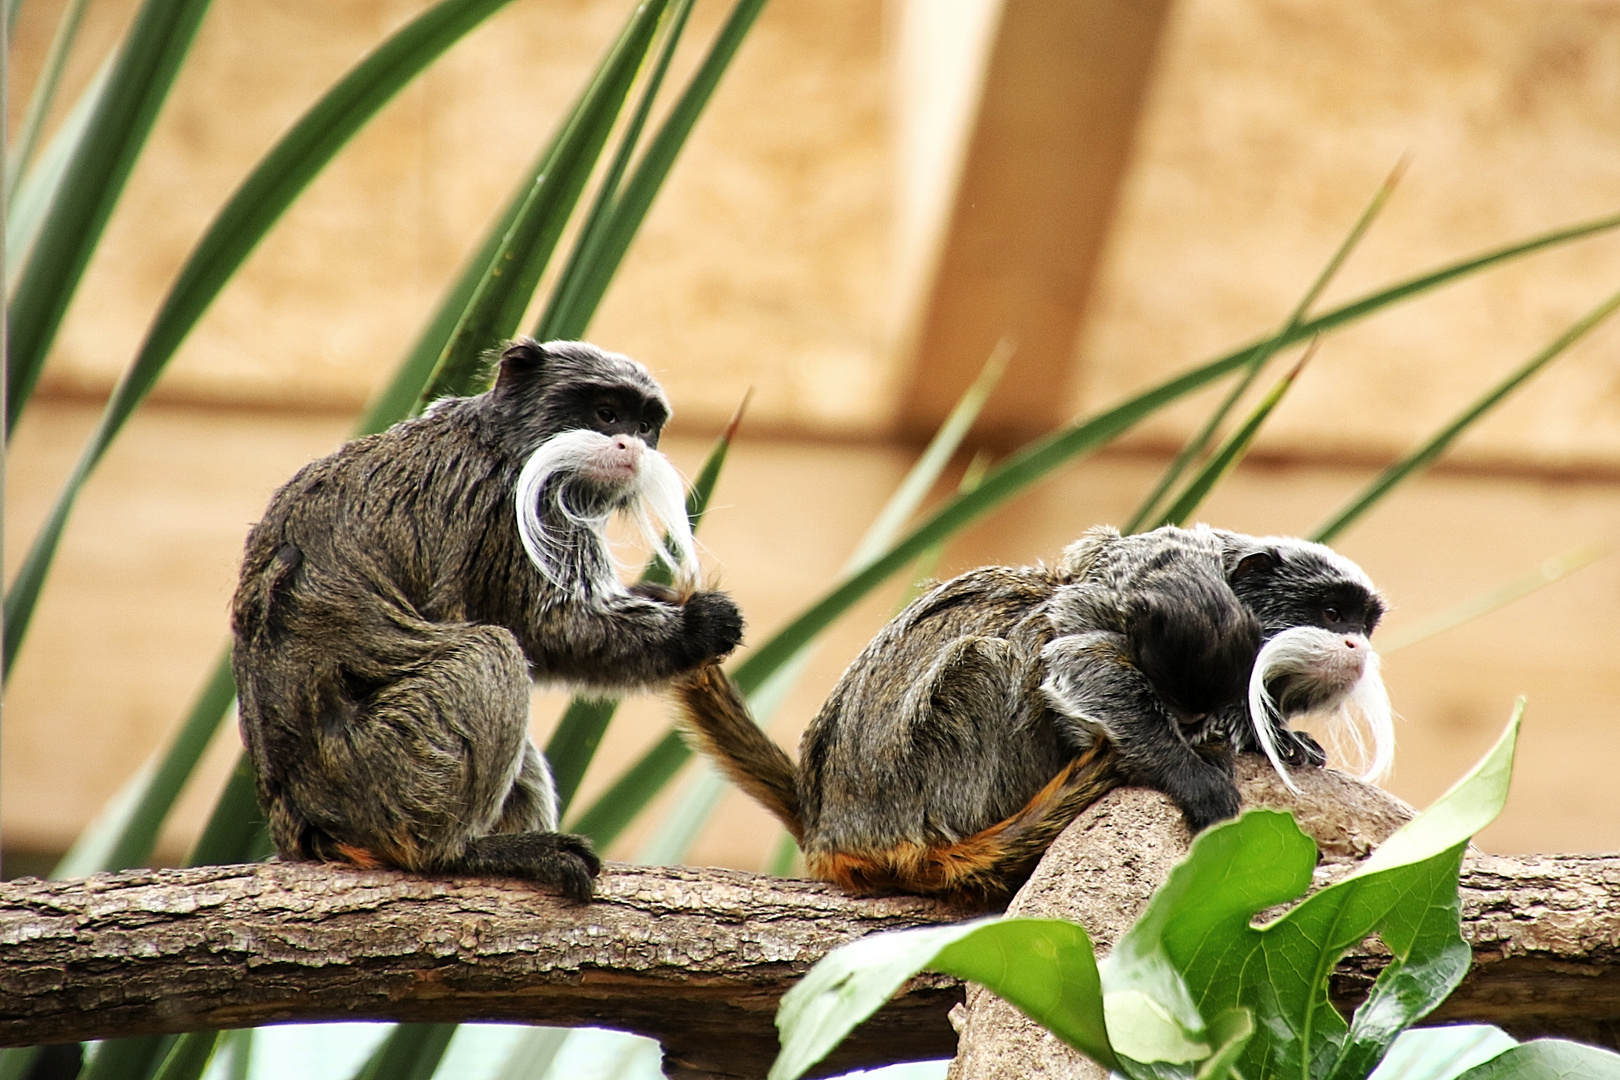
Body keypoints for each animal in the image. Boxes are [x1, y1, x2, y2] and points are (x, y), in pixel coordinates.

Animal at [231, 341, 741, 900]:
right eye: (606, 415)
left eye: (646, 424)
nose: (631, 446)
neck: (500, 439)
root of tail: (300, 822)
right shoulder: (515, 503)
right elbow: (552, 629)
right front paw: (699, 628)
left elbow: (536, 640)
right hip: (372, 771)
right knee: (486, 652)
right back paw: (465, 853)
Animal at [677, 524, 1386, 906]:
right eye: (1330, 615)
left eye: (1361, 622)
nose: (1356, 645)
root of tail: (834, 826)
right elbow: (1074, 658)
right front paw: (1197, 774)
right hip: (934, 783)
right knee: (1002, 645)